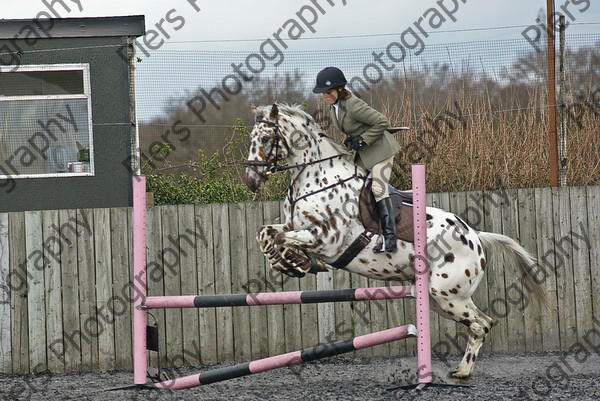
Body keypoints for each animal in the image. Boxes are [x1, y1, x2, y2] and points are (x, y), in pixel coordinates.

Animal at [243, 102, 548, 378]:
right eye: (252, 138)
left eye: (266, 138)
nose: (251, 180)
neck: (316, 179)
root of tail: (475, 236)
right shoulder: (296, 227)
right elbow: (265, 232)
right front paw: (290, 263)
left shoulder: (328, 240)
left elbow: (281, 236)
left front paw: (296, 263)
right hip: (440, 298)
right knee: (483, 322)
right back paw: (462, 371)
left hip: (447, 295)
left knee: (479, 325)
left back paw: (459, 372)